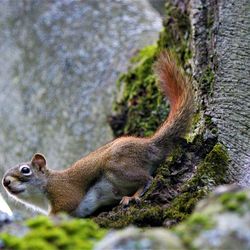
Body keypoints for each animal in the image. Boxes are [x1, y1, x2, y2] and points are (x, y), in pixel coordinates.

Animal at [1, 52, 193, 217]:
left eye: (25, 170)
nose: (5, 182)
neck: (43, 191)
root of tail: (150, 145)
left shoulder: (63, 191)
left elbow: (65, 205)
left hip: (118, 166)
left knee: (147, 179)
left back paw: (132, 196)